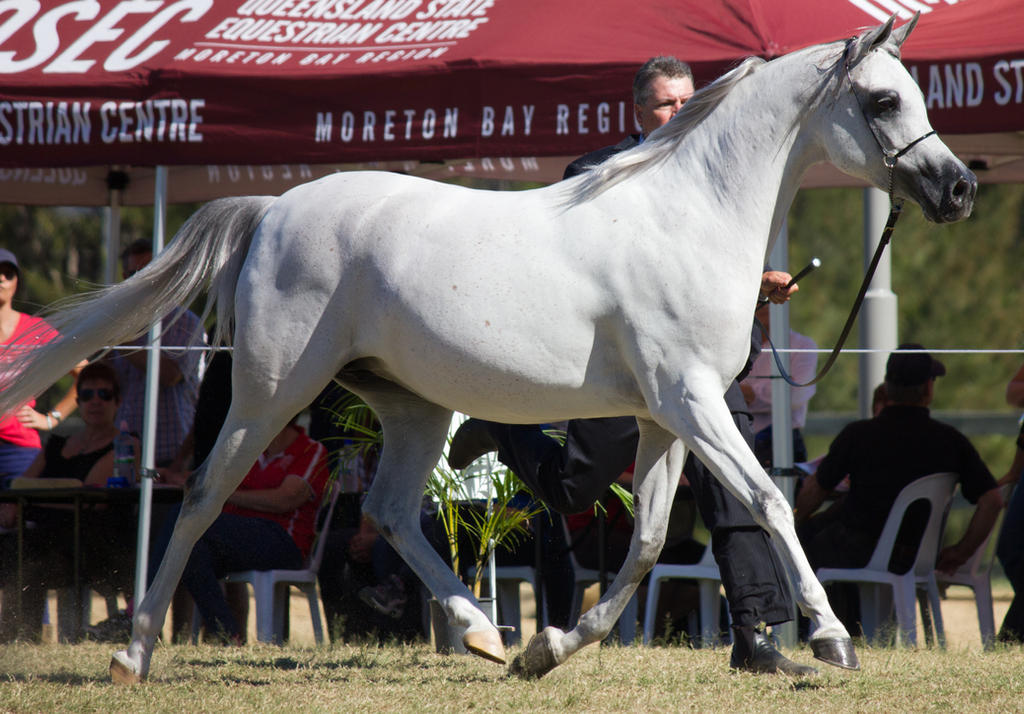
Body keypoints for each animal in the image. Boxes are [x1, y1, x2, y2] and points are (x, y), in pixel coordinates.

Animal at [0, 13, 974, 676]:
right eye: (883, 99)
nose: (958, 189)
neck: (687, 217)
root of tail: (275, 208)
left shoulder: (666, 417)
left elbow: (650, 541)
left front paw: (552, 646)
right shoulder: (692, 401)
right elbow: (770, 502)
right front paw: (832, 636)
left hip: (410, 406)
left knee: (392, 510)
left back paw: (481, 631)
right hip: (272, 390)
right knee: (201, 496)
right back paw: (132, 655)